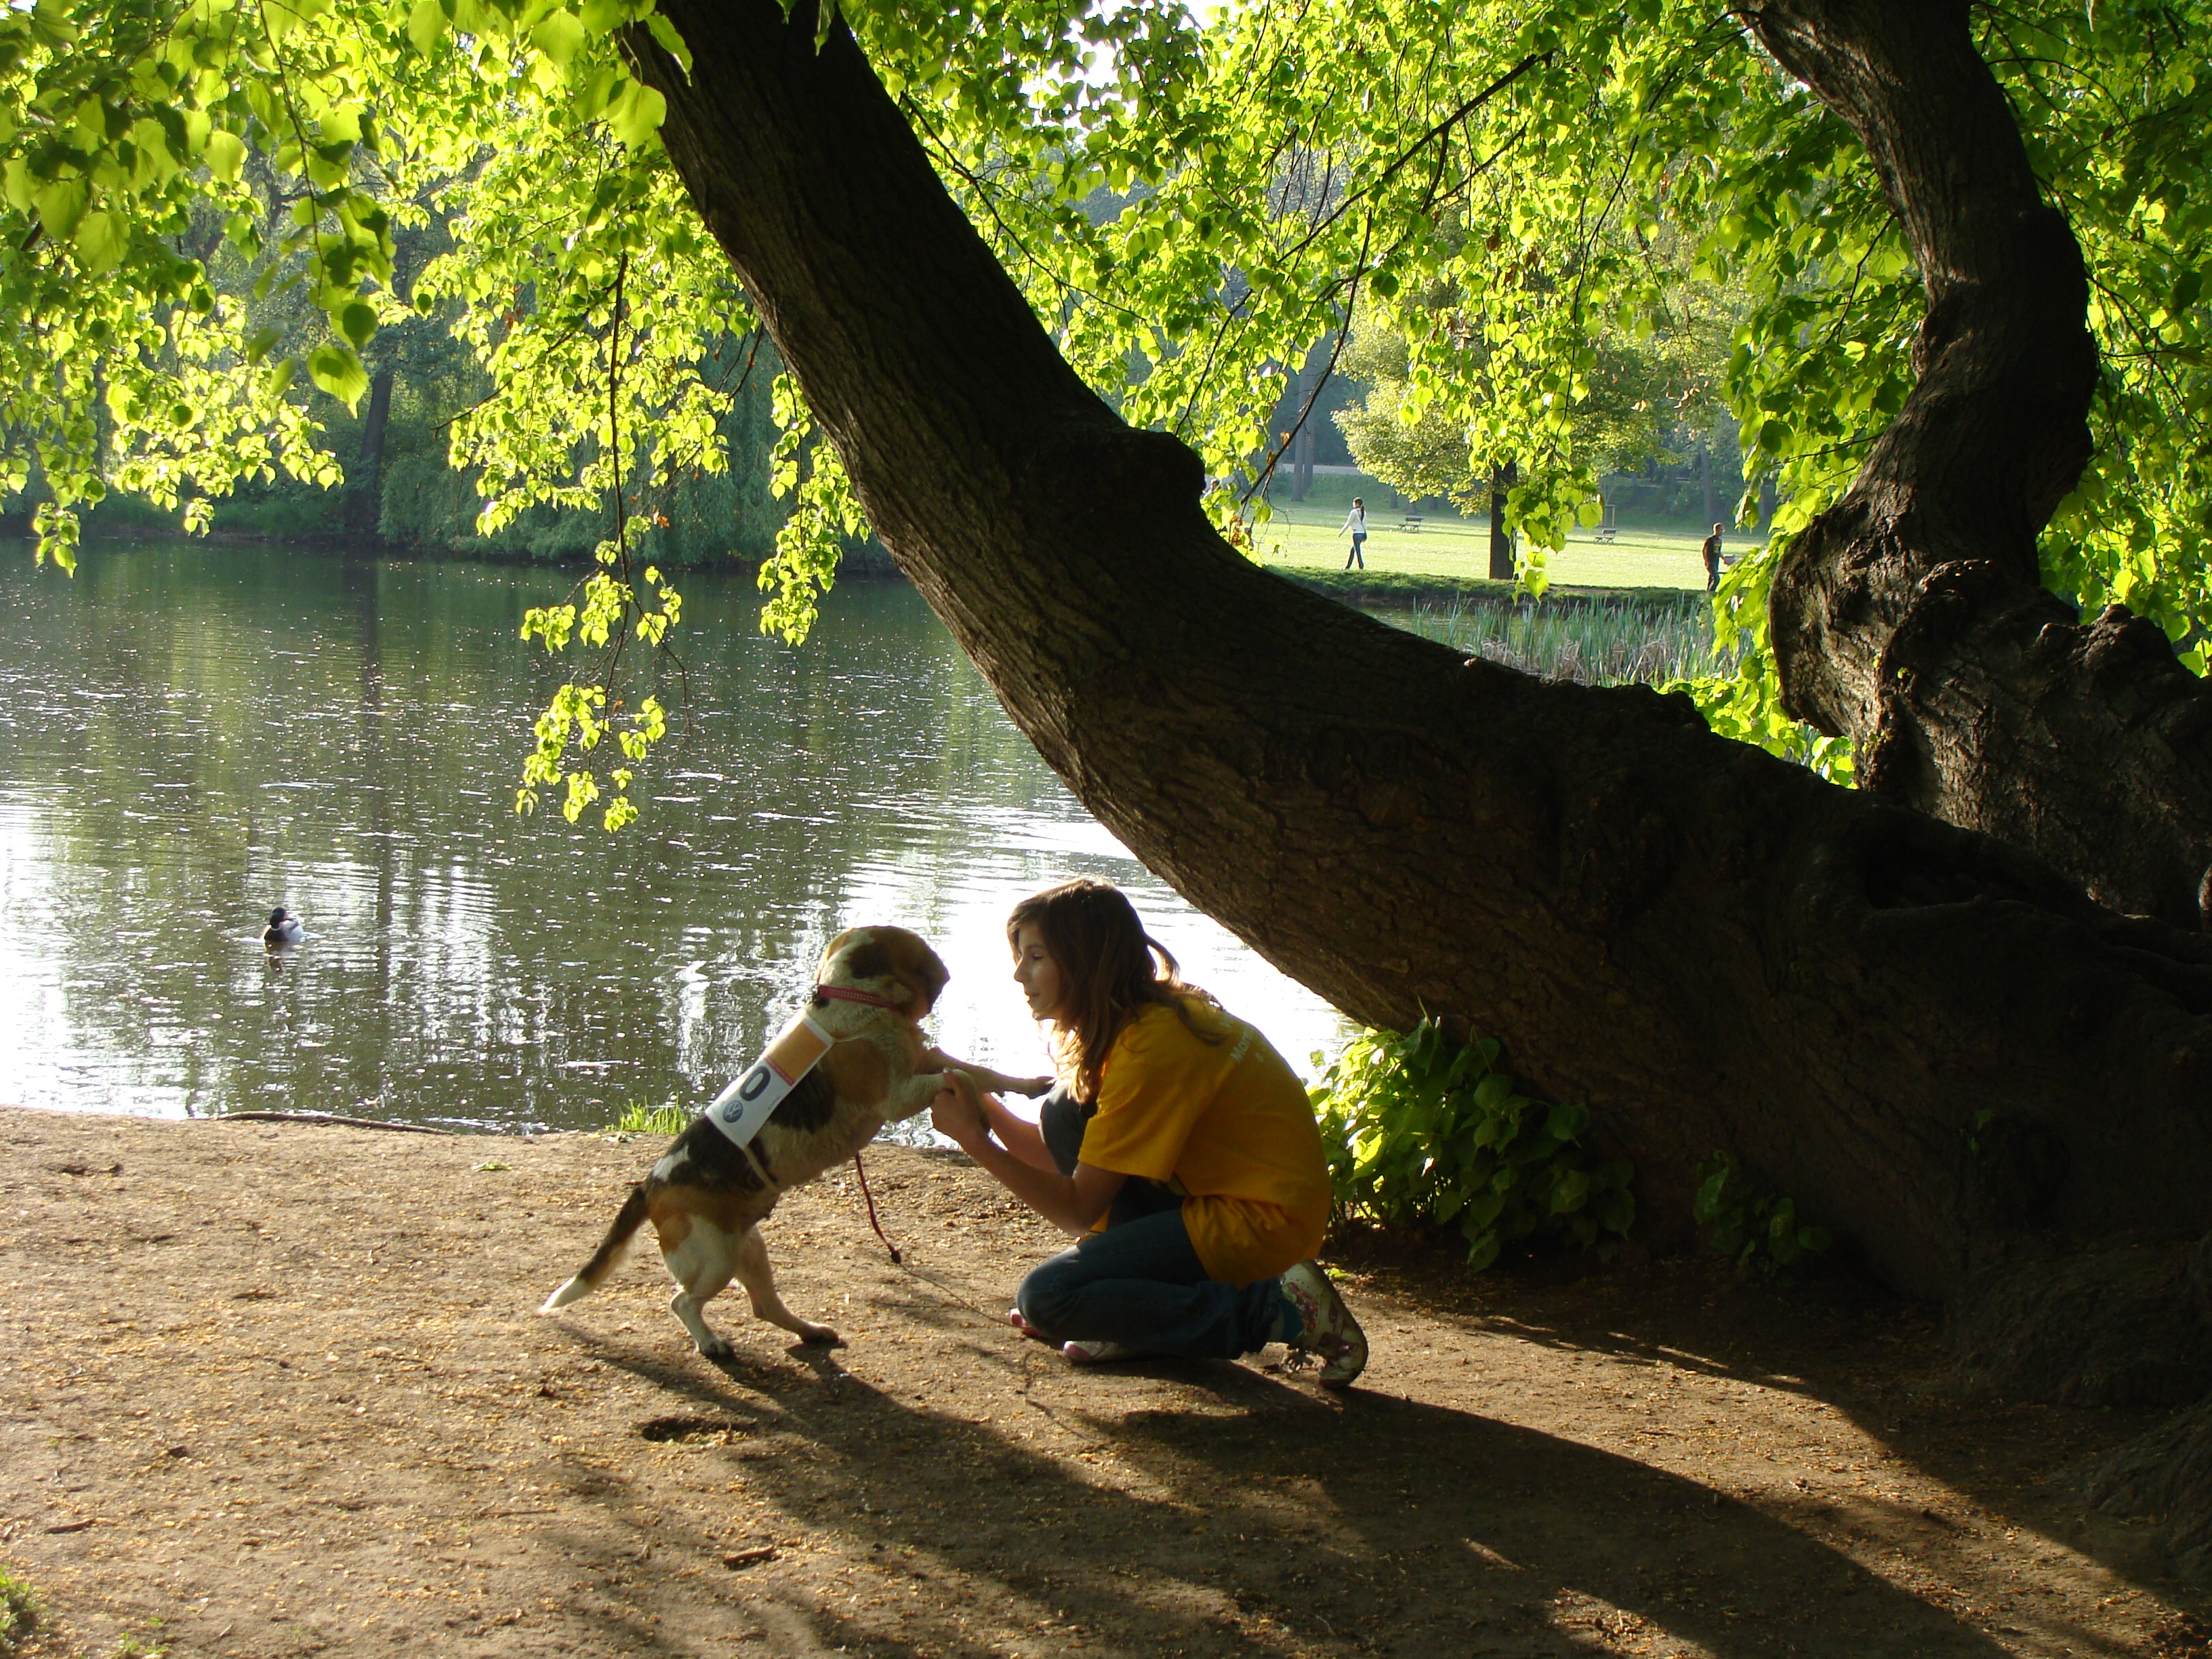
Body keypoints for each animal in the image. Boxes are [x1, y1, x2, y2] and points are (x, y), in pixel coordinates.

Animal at [541, 928, 1044, 1353]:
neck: (855, 1000)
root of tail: (650, 1185)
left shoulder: (926, 1061)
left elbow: (980, 1072)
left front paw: (1031, 1086)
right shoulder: (899, 1097)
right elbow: (964, 1077)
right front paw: (980, 1115)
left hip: (747, 1250)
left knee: (765, 1307)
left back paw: (812, 1331)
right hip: (715, 1259)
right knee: (681, 1303)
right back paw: (710, 1342)